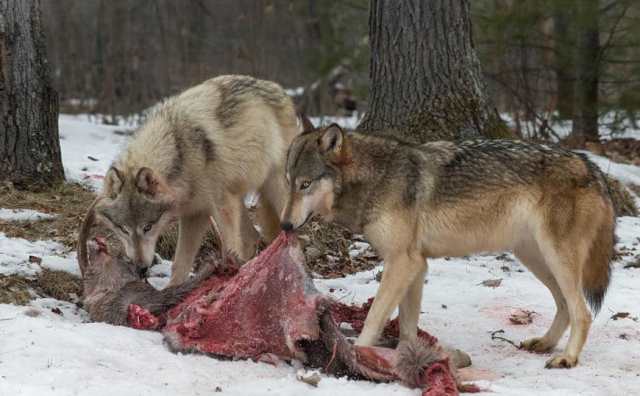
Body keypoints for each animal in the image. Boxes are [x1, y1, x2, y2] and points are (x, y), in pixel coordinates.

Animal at [89, 74, 300, 284]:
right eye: (124, 229)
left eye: (148, 227)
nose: (140, 268)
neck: (180, 152)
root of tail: (277, 88)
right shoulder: (195, 213)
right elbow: (180, 264)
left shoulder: (221, 208)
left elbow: (230, 248)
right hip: (237, 200)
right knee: (252, 238)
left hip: (274, 189)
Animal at [284, 124, 616, 368]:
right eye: (288, 182)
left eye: (306, 184)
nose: (284, 225)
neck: (376, 179)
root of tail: (593, 168)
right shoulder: (416, 266)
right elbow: (407, 325)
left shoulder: (402, 262)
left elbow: (374, 317)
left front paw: (358, 355)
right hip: (534, 257)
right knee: (564, 305)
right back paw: (545, 343)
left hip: (556, 258)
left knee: (582, 312)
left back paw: (567, 358)